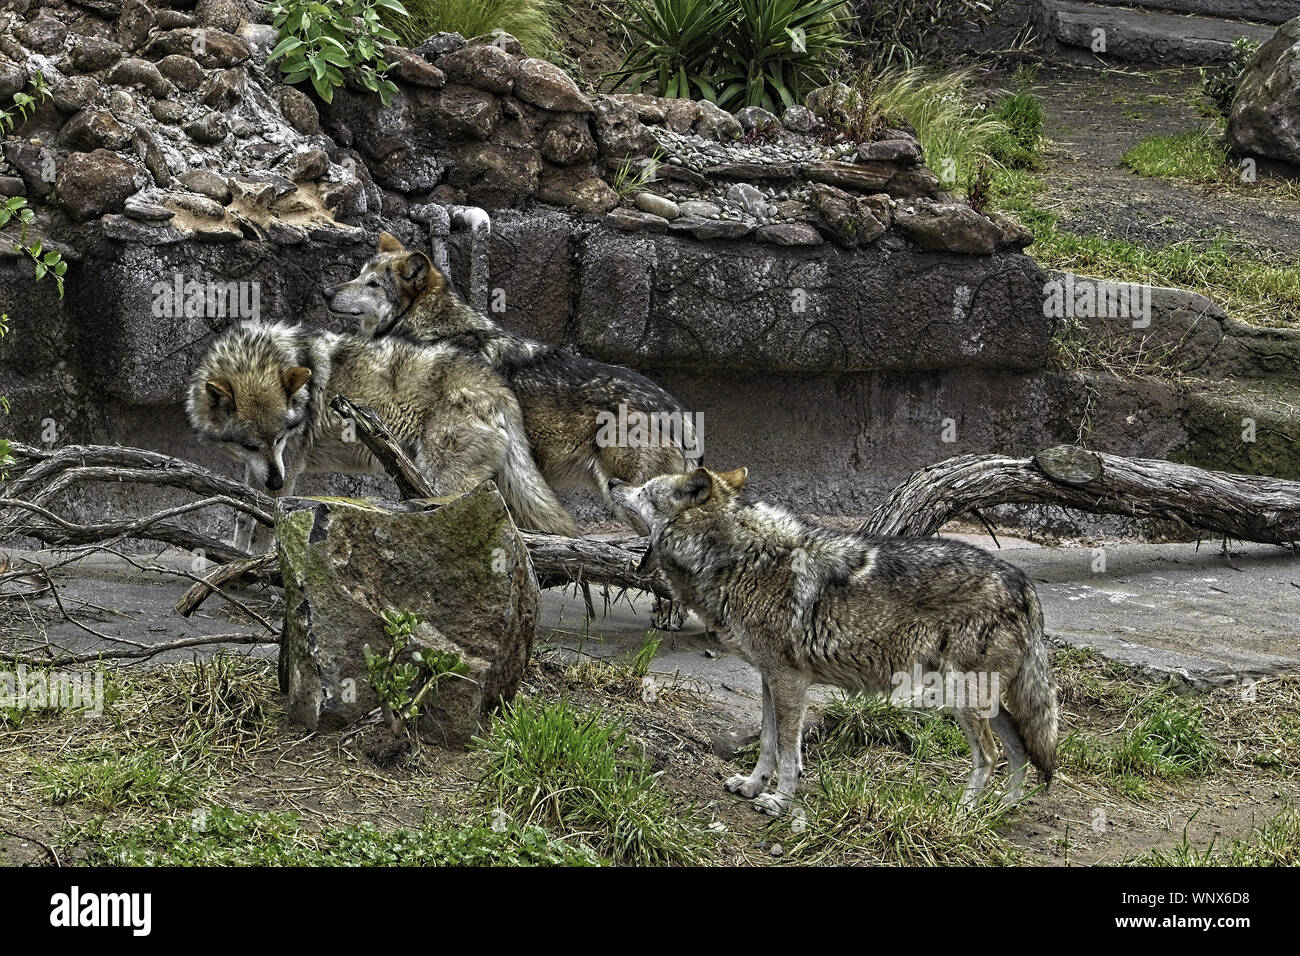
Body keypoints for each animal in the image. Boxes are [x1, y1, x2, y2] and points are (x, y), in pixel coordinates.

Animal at [187, 321, 579, 546]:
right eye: (251, 446)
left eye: (281, 439)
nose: (274, 481)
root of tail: (499, 386)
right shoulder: (256, 471)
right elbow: (243, 518)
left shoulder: (288, 470)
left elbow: (265, 526)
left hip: (441, 486)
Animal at [608, 468, 1055, 816]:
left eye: (644, 490)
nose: (612, 481)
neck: (737, 559)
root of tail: (1021, 582)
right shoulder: (770, 678)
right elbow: (768, 742)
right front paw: (753, 786)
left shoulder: (789, 681)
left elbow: (789, 753)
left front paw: (779, 802)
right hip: (985, 698)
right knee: (1020, 750)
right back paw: (999, 810)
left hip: (962, 696)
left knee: (991, 756)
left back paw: (963, 815)